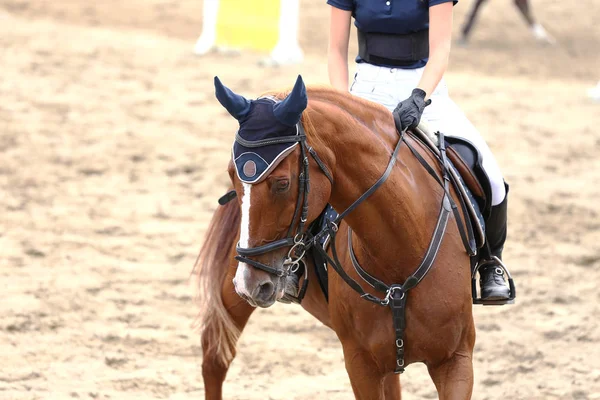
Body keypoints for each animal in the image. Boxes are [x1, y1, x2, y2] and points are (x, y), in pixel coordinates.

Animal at [197, 76, 478, 400]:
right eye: (232, 175)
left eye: (282, 183)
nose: (251, 285)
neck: (402, 249)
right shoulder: (360, 364)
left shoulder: (455, 360)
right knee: (216, 358)